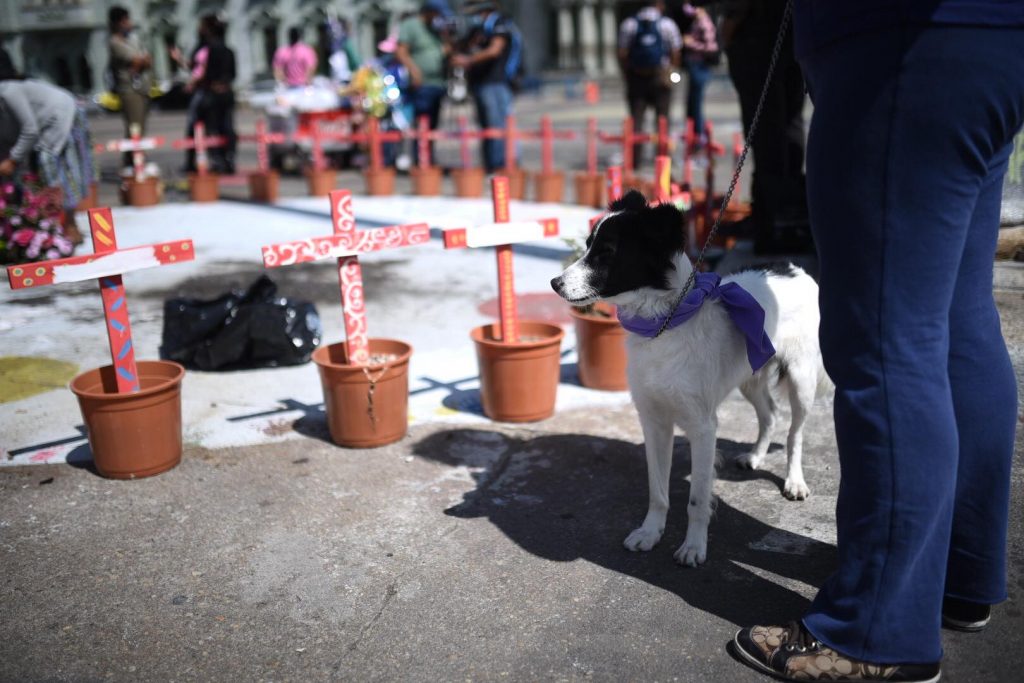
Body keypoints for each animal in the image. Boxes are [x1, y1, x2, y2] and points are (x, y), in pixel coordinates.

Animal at [548, 192, 827, 565]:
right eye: (589, 246)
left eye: (607, 252)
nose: (554, 283)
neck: (664, 325)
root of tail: (793, 268)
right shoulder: (653, 421)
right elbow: (657, 491)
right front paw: (650, 533)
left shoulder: (703, 426)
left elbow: (696, 499)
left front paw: (694, 546)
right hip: (749, 376)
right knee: (770, 414)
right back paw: (755, 456)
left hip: (800, 378)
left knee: (795, 433)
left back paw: (795, 481)